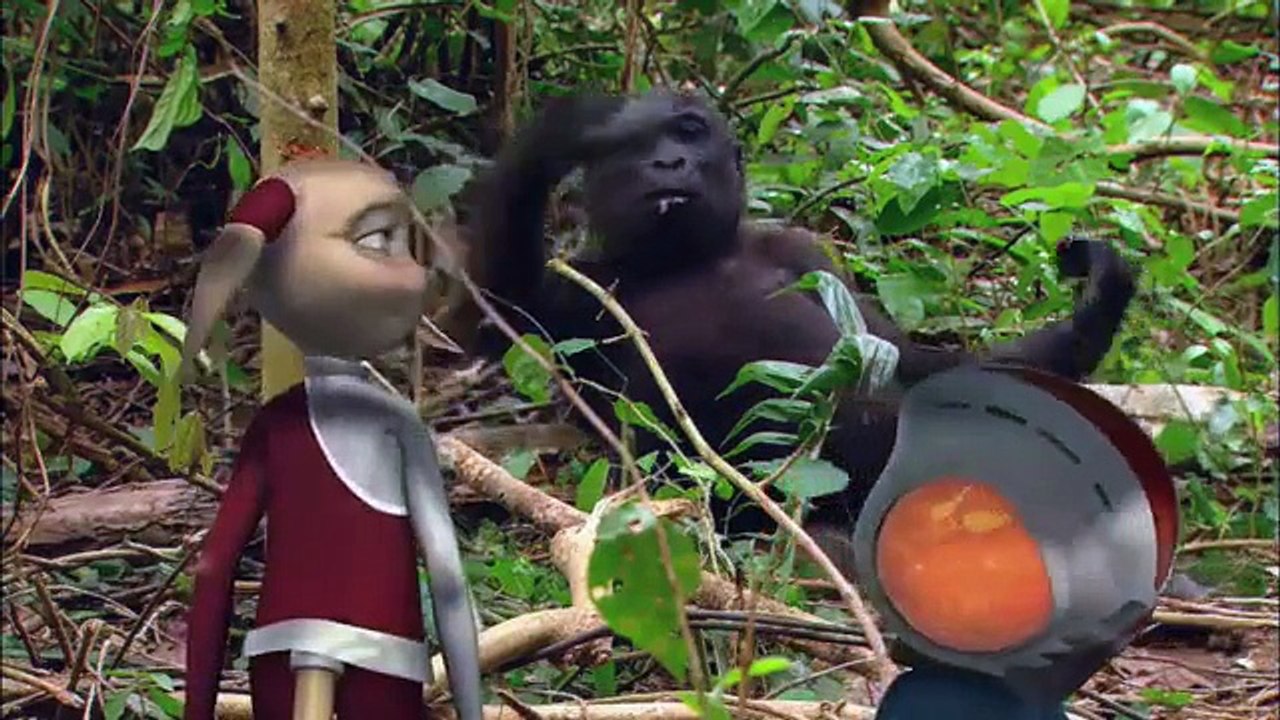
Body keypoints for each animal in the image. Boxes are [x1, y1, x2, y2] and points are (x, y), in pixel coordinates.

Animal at [460, 90, 1138, 552]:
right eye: (632, 150)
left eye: (687, 131)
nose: (668, 163)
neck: (687, 256)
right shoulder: (581, 290)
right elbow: (492, 316)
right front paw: (564, 126)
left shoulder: (805, 252)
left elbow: (906, 357)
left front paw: (1098, 306)